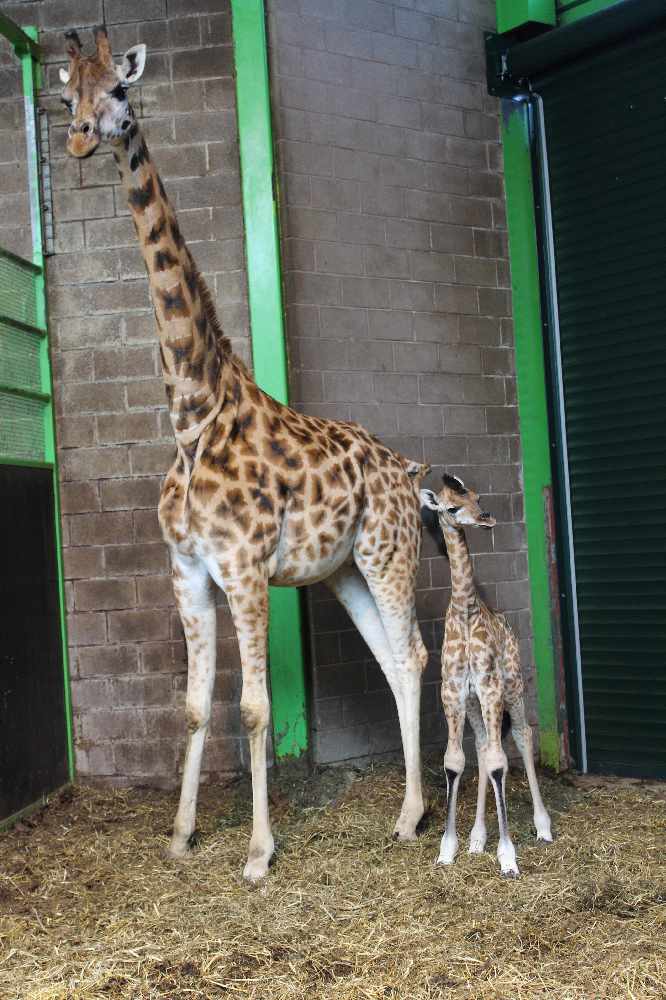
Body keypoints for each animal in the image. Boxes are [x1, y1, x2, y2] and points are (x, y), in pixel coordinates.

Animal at [60, 28, 430, 882]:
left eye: (119, 91)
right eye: (67, 96)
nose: (80, 139)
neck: (192, 415)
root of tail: (408, 472)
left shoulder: (246, 568)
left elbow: (255, 709)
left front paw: (260, 853)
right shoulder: (188, 569)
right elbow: (197, 706)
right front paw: (180, 836)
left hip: (390, 554)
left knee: (419, 654)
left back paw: (420, 812)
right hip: (343, 572)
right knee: (394, 661)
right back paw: (406, 816)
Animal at [420, 475, 552, 877]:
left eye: (477, 497)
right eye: (451, 507)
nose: (487, 518)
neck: (466, 612)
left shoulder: (491, 687)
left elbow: (498, 763)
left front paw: (507, 856)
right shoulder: (452, 691)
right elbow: (455, 761)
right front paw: (448, 849)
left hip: (512, 685)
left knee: (522, 736)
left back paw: (543, 827)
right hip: (476, 704)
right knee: (481, 745)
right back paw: (478, 837)